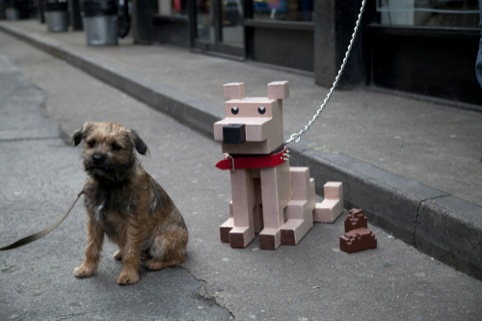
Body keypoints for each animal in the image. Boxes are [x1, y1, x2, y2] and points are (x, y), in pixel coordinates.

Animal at [72, 121, 187, 284]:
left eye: (115, 146)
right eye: (91, 142)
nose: (97, 158)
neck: (109, 184)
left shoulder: (133, 222)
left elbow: (132, 249)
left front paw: (129, 274)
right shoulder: (94, 220)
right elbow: (91, 247)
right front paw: (87, 268)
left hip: (161, 241)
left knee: (178, 258)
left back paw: (155, 263)